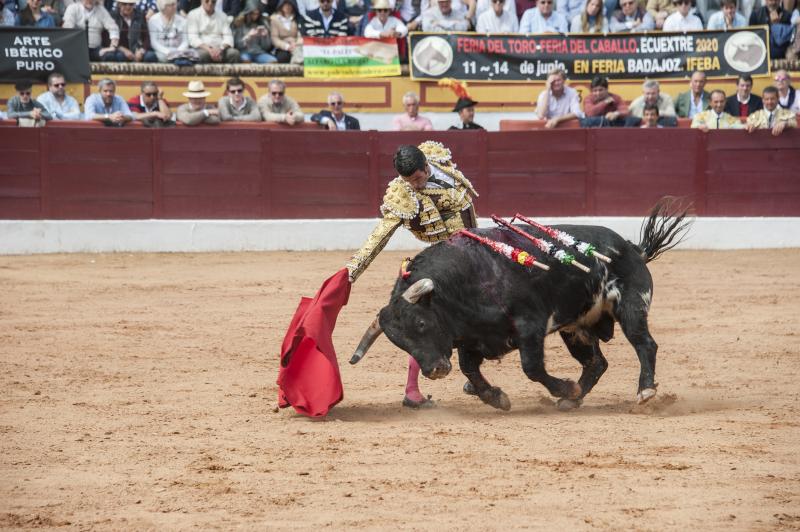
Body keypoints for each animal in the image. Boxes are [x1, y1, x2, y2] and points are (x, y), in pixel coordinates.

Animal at [354, 201, 692, 412]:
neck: (464, 279)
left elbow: (531, 366)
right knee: (596, 363)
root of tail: (632, 247)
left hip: (631, 307)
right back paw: (573, 400)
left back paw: (644, 391)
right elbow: (469, 369)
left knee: (644, 344)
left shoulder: (530, 325)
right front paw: (496, 398)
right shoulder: (471, 337)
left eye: (422, 324)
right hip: (576, 327)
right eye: (400, 343)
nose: (434, 370)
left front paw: (564, 387)